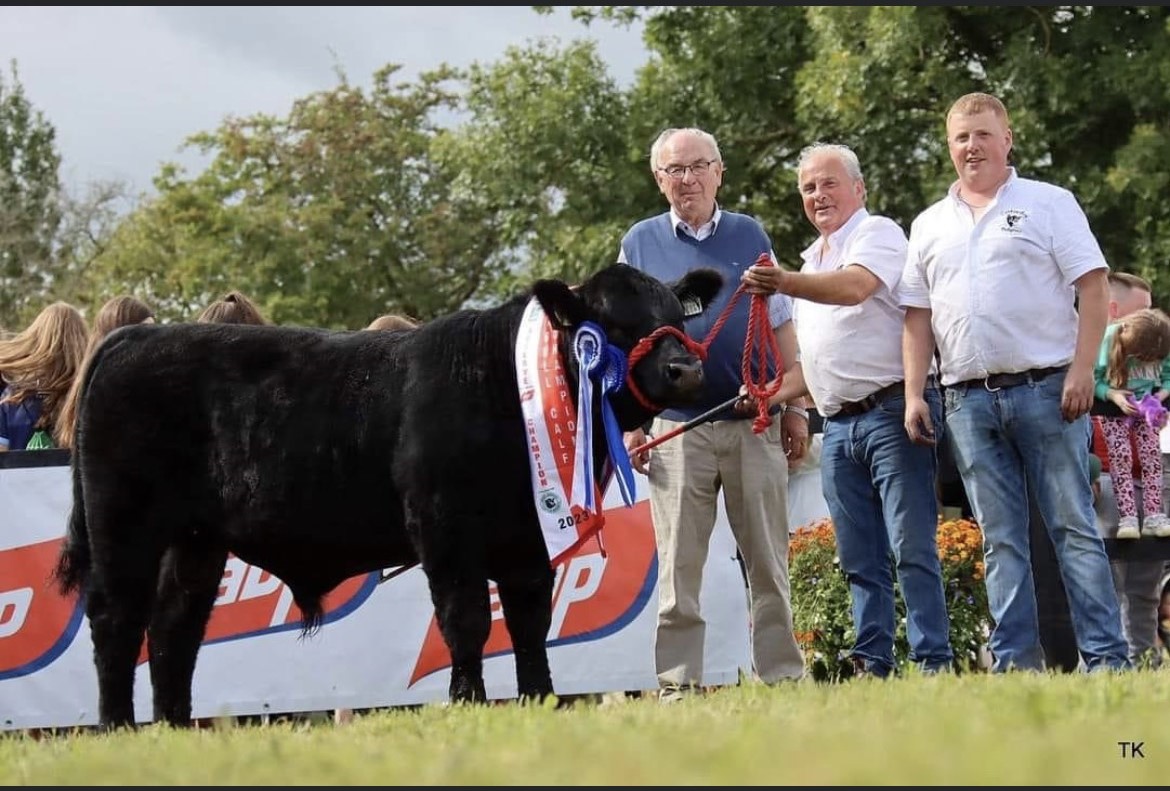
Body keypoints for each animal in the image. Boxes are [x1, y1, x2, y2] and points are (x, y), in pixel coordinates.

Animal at [53, 263, 723, 728]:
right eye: (612, 324)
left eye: (675, 315)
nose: (685, 370)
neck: (505, 386)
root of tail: (131, 340)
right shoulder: (444, 530)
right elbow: (466, 621)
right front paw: (469, 702)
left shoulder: (528, 540)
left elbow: (531, 623)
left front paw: (541, 700)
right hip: (123, 523)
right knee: (116, 619)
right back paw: (119, 727)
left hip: (195, 540)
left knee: (174, 627)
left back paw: (174, 726)